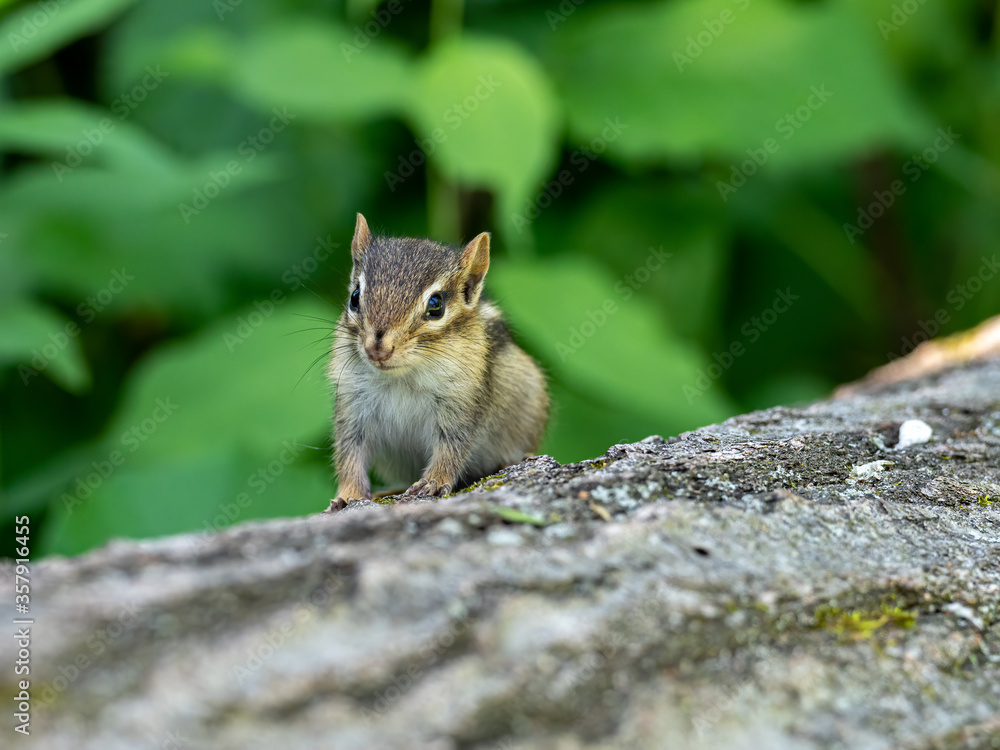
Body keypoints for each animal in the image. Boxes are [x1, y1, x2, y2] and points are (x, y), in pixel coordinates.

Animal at [326, 213, 549, 510]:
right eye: (354, 297)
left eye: (436, 304)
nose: (377, 349)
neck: (402, 377)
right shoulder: (352, 405)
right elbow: (349, 452)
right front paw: (348, 494)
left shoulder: (461, 402)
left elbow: (452, 449)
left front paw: (432, 483)